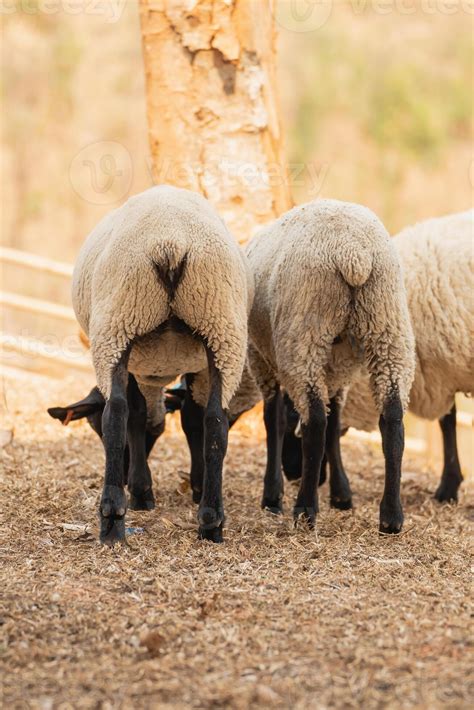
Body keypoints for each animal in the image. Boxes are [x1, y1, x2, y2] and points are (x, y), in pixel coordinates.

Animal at [62, 185, 252, 544]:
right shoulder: (192, 362)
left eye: (91, 428)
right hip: (221, 327)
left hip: (118, 323)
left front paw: (141, 492)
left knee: (115, 413)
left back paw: (113, 516)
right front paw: (194, 487)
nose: (125, 472)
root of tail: (170, 242)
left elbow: (138, 417)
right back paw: (211, 521)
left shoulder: (141, 364)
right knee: (217, 421)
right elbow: (191, 418)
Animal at [246, 198, 415, 533]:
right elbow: (335, 421)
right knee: (392, 417)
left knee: (314, 420)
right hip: (387, 322)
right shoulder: (340, 369)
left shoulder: (260, 359)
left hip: (303, 330)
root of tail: (353, 252)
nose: (294, 472)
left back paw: (305, 510)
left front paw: (272, 496)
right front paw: (341, 494)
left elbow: (275, 420)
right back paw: (391, 516)